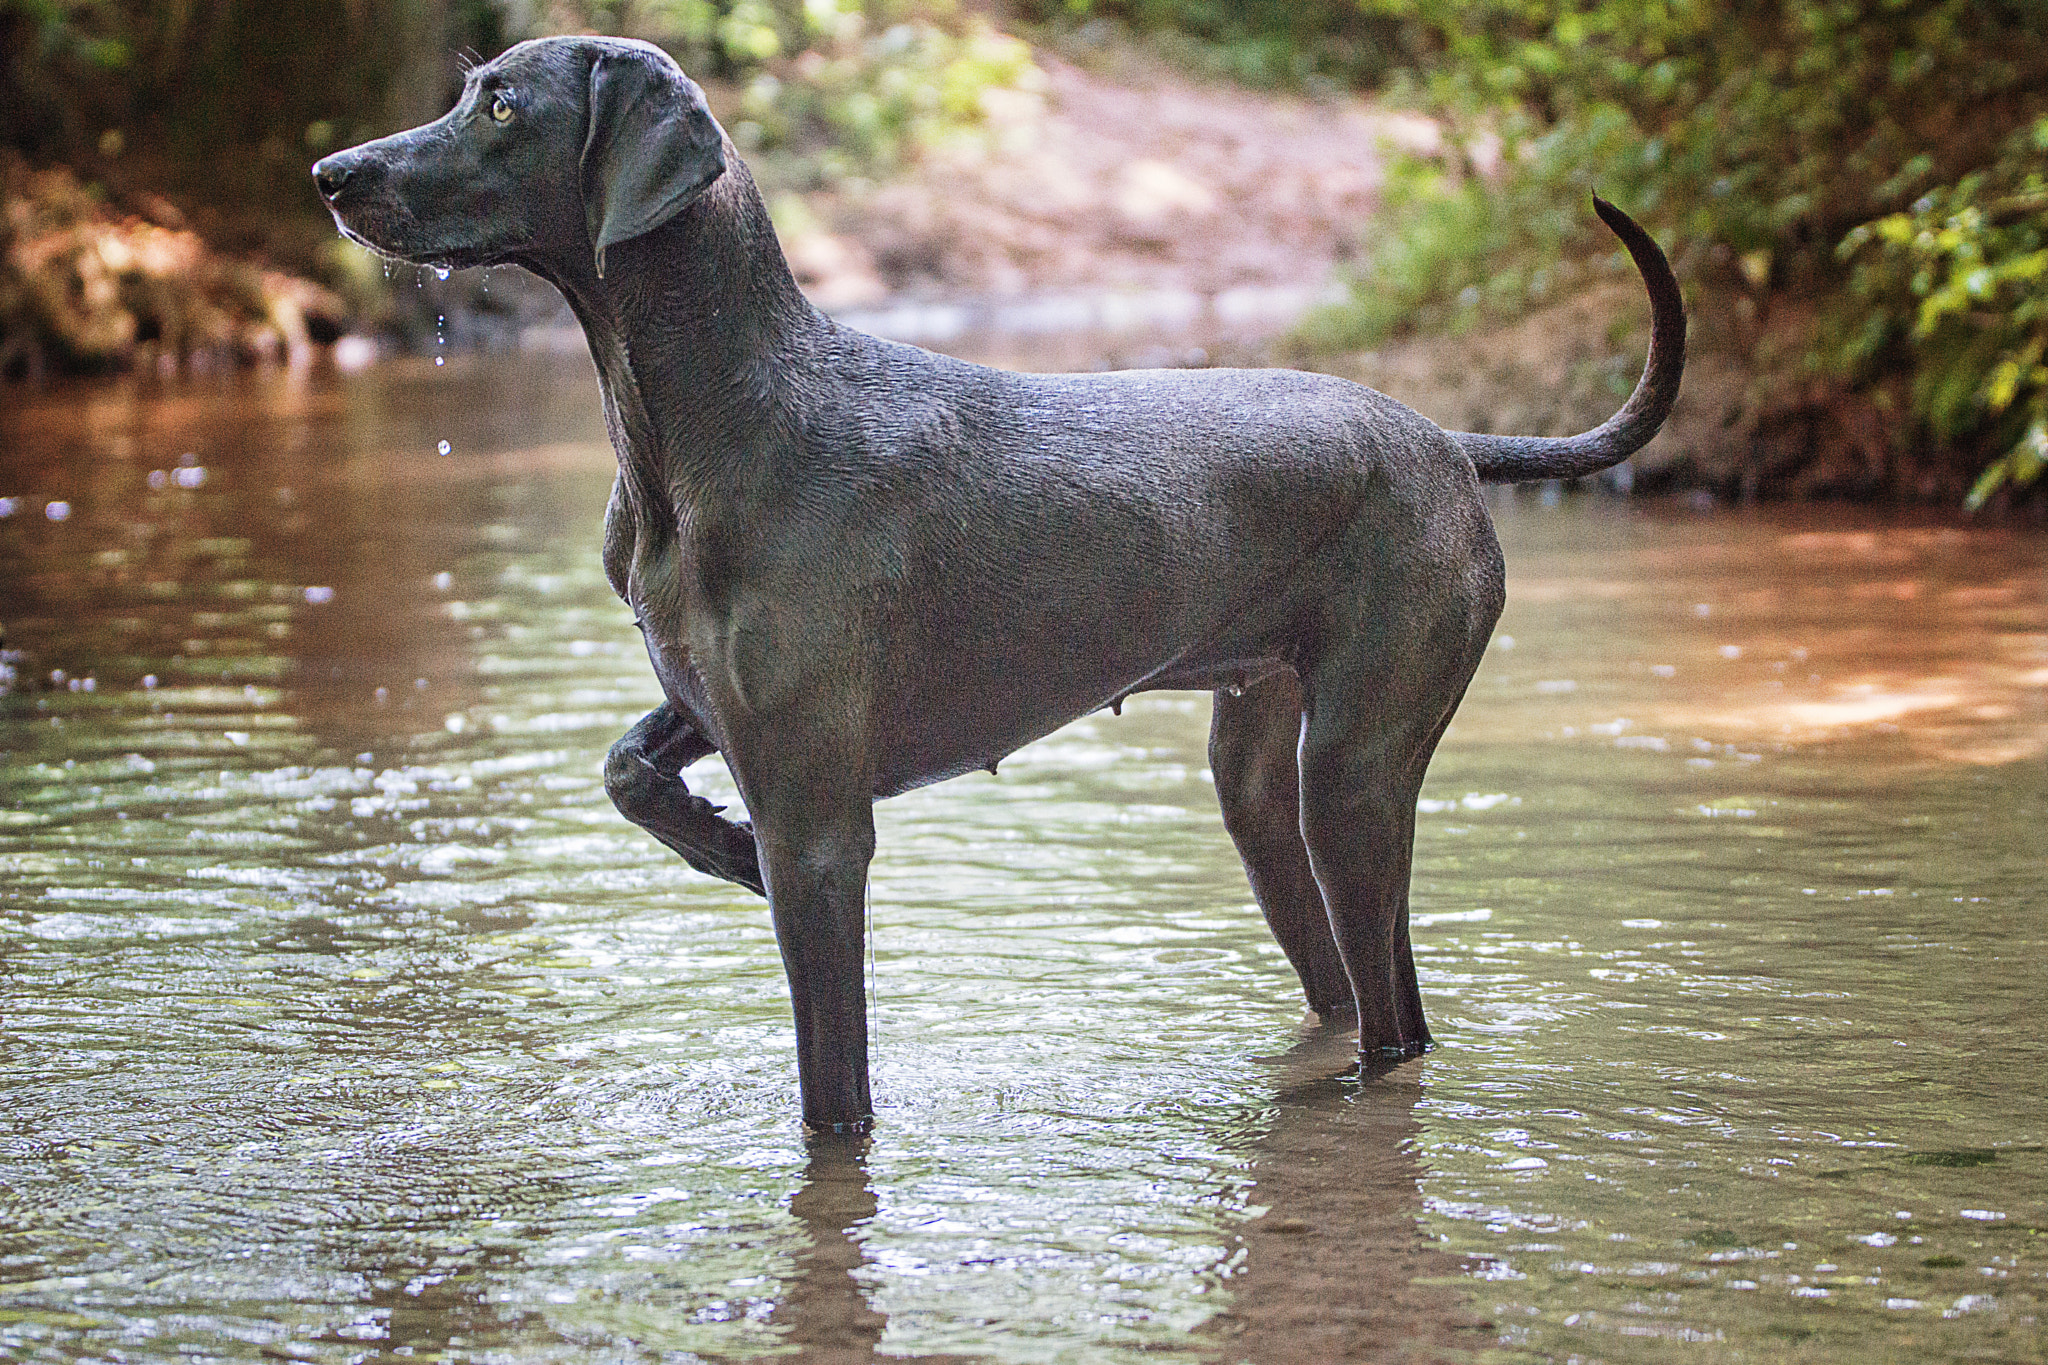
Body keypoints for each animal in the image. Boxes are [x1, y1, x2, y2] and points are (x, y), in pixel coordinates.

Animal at [315, 37, 1679, 1137]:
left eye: (501, 106)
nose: (331, 172)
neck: (713, 418)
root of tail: (1448, 441)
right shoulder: (722, 710)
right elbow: (624, 767)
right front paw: (720, 846)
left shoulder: (821, 821)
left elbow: (831, 1088)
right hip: (1260, 773)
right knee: (1347, 991)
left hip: (1351, 769)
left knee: (1397, 1019)